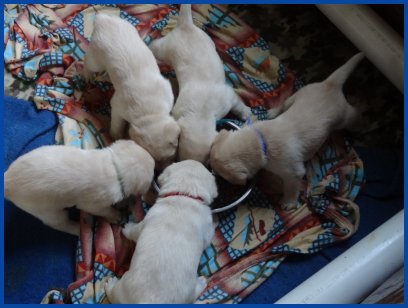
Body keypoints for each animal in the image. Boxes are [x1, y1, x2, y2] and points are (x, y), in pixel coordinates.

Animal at [107, 160, 218, 304]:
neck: (185, 195)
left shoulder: (144, 223)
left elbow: (133, 231)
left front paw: (126, 227)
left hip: (122, 287)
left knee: (113, 295)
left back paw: (109, 284)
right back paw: (202, 283)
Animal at [210, 53, 364, 212]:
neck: (261, 140)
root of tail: (330, 84)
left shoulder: (294, 173)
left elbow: (291, 187)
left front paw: (289, 202)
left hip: (345, 116)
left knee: (355, 115)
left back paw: (362, 126)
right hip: (298, 95)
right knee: (284, 104)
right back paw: (272, 112)